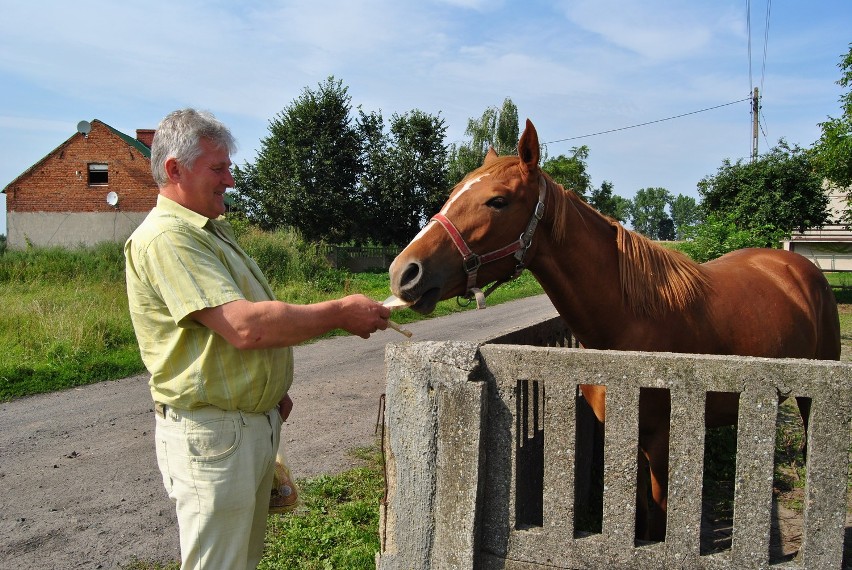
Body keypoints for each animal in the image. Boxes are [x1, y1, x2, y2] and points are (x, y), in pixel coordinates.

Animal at [390, 118, 844, 536]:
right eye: (453, 194)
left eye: (498, 201)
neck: (632, 319)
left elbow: (658, 516)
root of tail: (797, 265)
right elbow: (640, 508)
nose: (404, 273)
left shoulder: (661, 440)